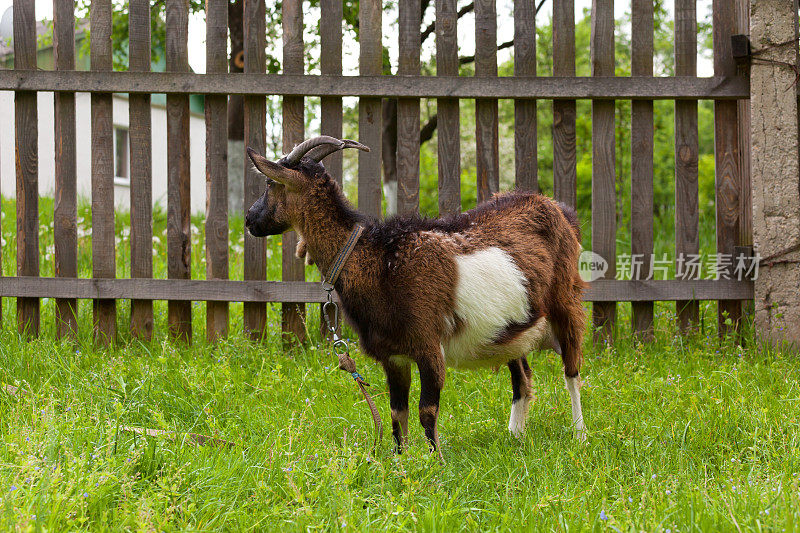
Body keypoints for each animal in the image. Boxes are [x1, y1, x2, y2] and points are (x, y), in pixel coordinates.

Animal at [244, 136, 588, 454]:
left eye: (271, 183)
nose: (249, 219)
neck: (380, 260)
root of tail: (558, 208)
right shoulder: (393, 355)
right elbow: (398, 412)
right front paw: (400, 461)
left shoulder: (428, 346)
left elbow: (427, 410)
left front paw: (436, 462)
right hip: (510, 326)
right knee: (523, 377)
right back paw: (515, 435)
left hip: (566, 301)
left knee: (572, 370)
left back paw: (579, 434)